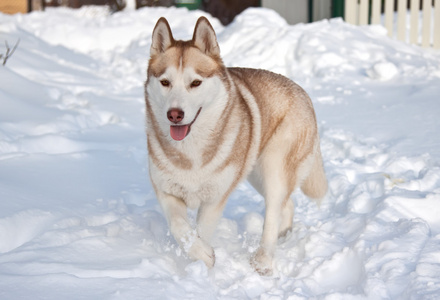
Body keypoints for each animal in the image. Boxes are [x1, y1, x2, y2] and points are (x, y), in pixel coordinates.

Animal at [144, 15, 326, 274]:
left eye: (195, 83)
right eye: (165, 82)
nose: (175, 114)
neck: (191, 152)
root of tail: (303, 92)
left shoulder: (215, 198)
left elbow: (202, 231)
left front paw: (202, 265)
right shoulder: (166, 190)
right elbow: (180, 228)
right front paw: (199, 255)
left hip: (274, 167)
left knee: (273, 211)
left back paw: (263, 259)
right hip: (255, 174)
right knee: (286, 204)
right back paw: (283, 235)